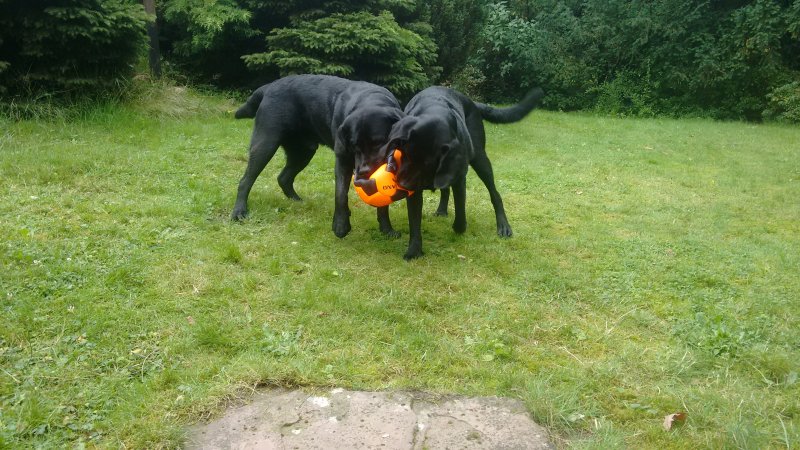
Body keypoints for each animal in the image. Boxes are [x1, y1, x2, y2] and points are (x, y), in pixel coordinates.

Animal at [231, 74, 404, 238]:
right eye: (354, 146)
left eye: (379, 142)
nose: (363, 173)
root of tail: (269, 86)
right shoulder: (343, 159)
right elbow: (340, 194)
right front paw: (340, 226)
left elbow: (383, 203)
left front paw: (387, 230)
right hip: (266, 143)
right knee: (245, 180)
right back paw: (239, 211)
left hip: (303, 151)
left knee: (283, 177)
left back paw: (297, 200)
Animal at [382, 86, 544, 259]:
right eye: (403, 154)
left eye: (427, 164)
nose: (402, 184)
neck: (434, 110)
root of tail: (471, 101)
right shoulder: (418, 188)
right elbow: (414, 222)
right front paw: (414, 251)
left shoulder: (458, 177)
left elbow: (460, 210)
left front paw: (459, 228)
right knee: (445, 190)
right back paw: (442, 210)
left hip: (480, 158)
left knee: (495, 194)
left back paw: (503, 225)